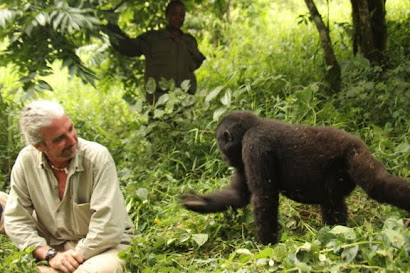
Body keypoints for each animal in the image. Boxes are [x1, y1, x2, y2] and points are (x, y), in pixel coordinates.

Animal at [183, 110, 410, 244]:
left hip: (354, 154)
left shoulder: (253, 145)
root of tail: (358, 142)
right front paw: (198, 202)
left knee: (377, 185)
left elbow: (264, 196)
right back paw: (336, 232)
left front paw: (266, 243)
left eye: (220, 141)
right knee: (332, 200)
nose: (222, 157)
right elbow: (238, 195)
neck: (251, 127)